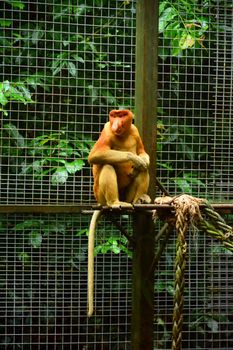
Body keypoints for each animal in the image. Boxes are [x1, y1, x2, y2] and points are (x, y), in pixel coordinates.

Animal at [87, 109, 151, 318]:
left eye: (122, 115)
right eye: (113, 116)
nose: (116, 121)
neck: (123, 134)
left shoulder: (135, 130)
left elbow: (143, 153)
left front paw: (142, 160)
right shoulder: (107, 130)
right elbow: (96, 155)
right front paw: (133, 158)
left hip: (128, 195)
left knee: (143, 171)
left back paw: (140, 200)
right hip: (100, 194)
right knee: (107, 165)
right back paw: (115, 203)